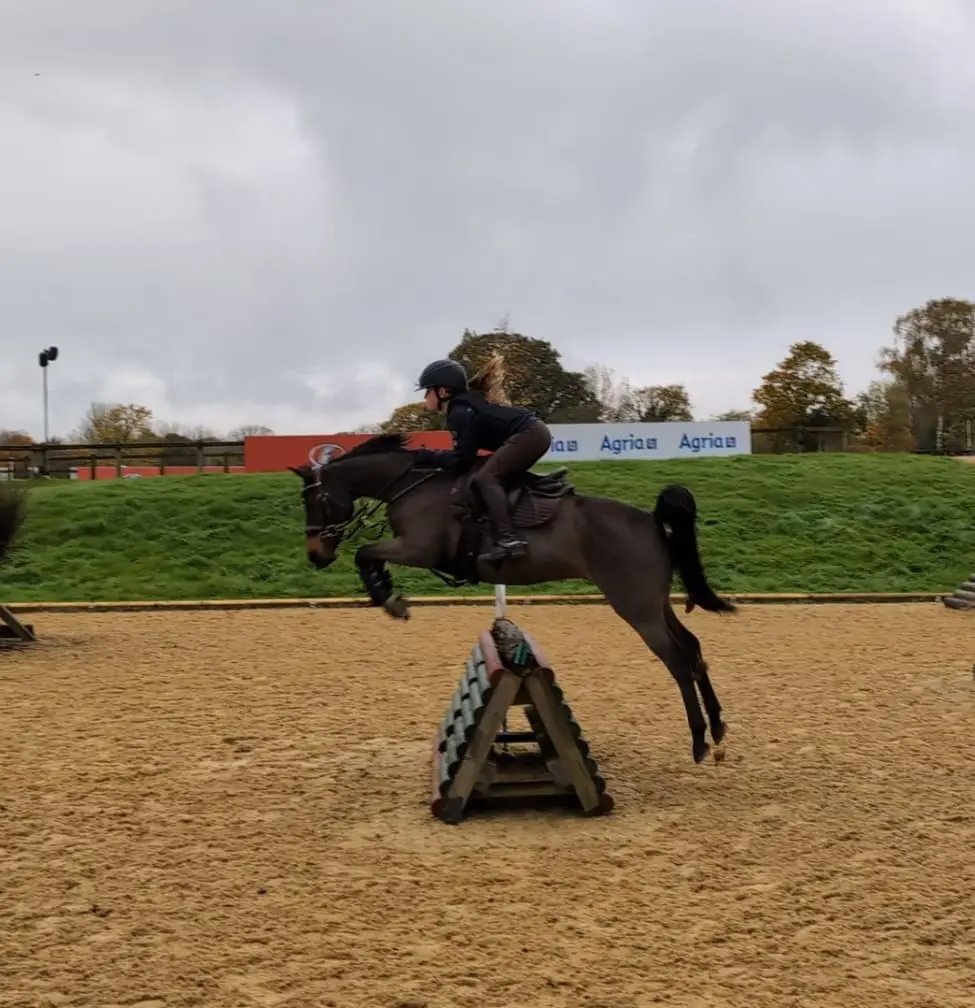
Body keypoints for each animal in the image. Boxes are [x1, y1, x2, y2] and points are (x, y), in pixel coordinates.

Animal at [290, 433, 736, 764]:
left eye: (313, 500)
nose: (315, 555)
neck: (409, 485)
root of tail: (650, 520)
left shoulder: (418, 548)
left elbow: (366, 553)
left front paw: (389, 598)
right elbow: (369, 555)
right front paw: (384, 590)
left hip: (636, 607)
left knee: (677, 661)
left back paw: (699, 739)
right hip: (655, 603)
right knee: (692, 648)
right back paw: (717, 728)